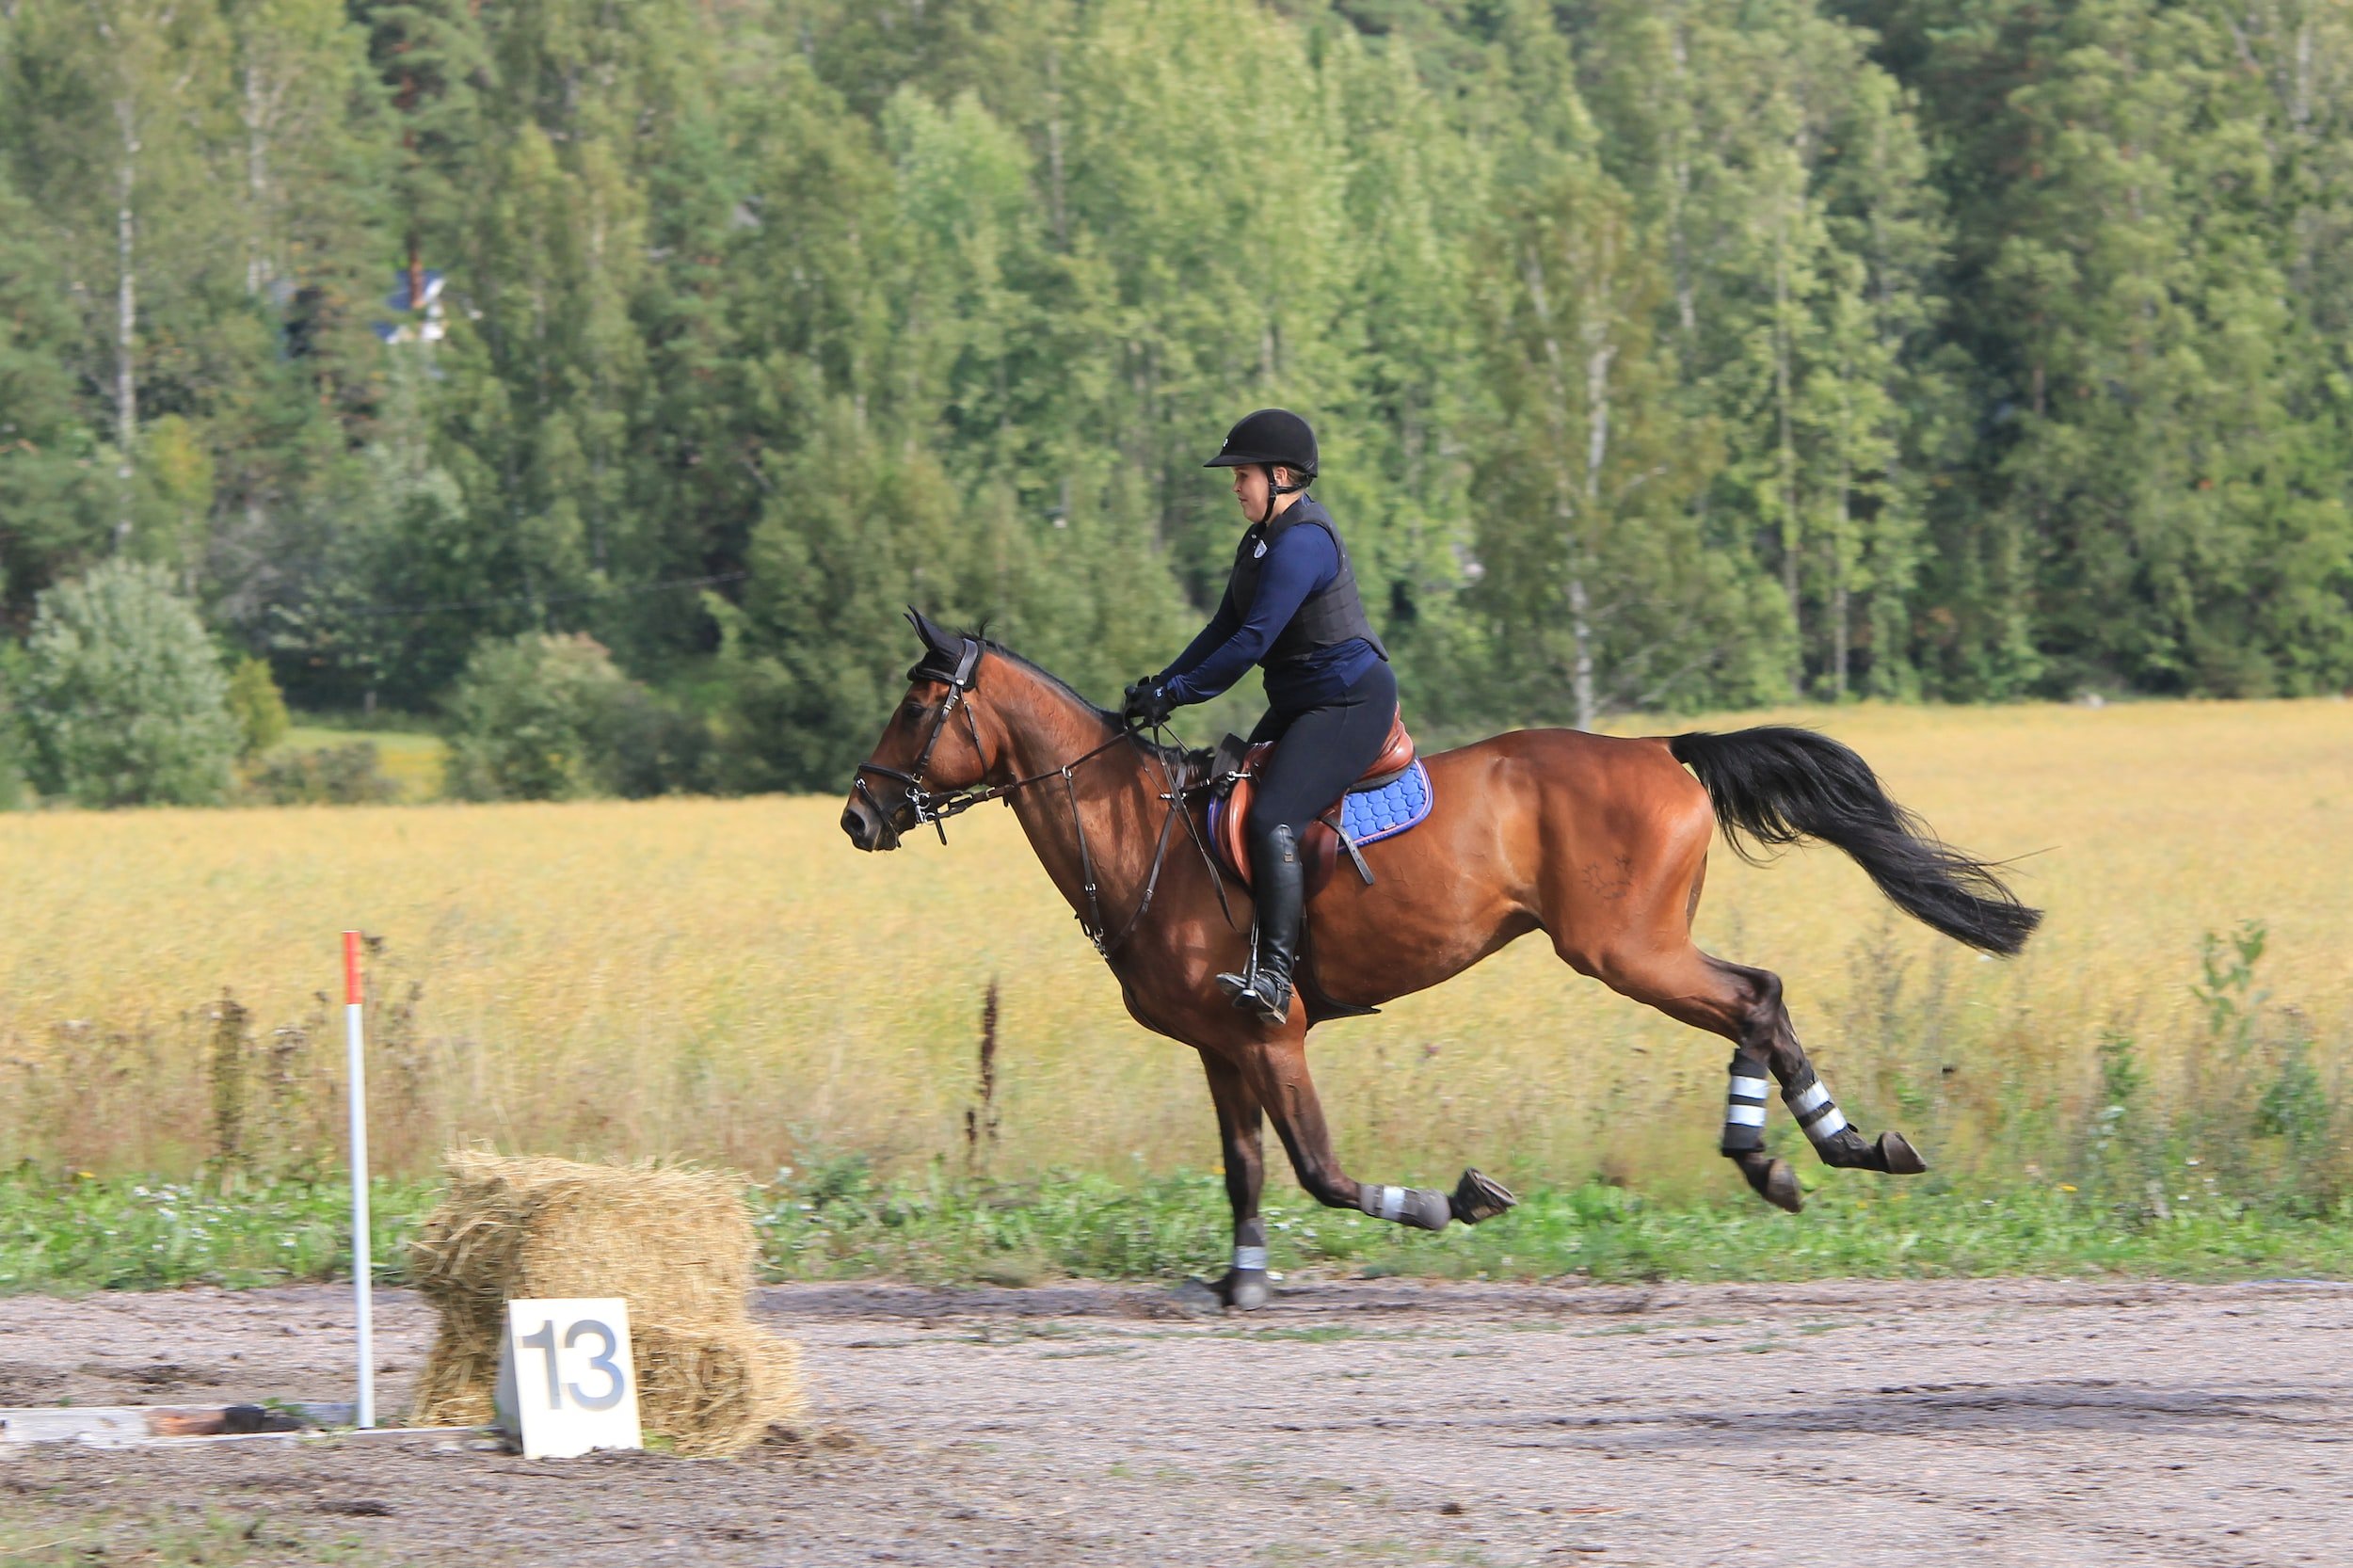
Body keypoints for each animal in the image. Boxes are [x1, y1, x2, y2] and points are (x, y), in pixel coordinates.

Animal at [847, 612, 2042, 1308]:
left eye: (917, 701)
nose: (859, 814)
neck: (1142, 832)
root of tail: (1663, 749)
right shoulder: (1220, 1047)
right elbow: (1246, 1168)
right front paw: (1239, 1281)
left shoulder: (1272, 1032)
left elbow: (1320, 1169)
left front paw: (1453, 1201)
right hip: (1640, 946)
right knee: (1765, 998)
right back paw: (1835, 1148)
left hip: (1627, 948)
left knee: (1753, 995)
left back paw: (1777, 1153)